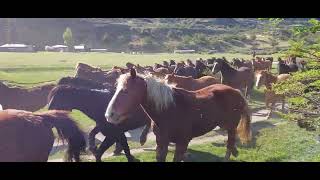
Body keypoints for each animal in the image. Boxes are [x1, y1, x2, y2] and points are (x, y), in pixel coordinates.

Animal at [105, 69, 252, 162]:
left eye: (126, 91)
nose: (109, 115)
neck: (169, 110)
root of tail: (236, 91)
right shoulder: (161, 143)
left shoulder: (181, 143)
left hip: (231, 126)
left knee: (230, 142)